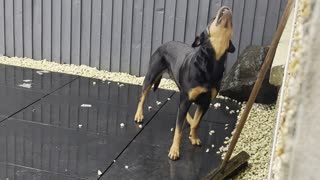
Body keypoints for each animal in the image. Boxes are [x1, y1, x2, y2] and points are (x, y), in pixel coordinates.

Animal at [134, 6, 234, 160]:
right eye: (212, 19)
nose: (225, 7)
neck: (211, 64)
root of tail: (163, 44)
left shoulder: (205, 102)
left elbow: (196, 123)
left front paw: (194, 137)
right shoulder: (186, 100)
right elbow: (178, 129)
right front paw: (174, 150)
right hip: (151, 75)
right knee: (143, 96)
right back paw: (139, 115)